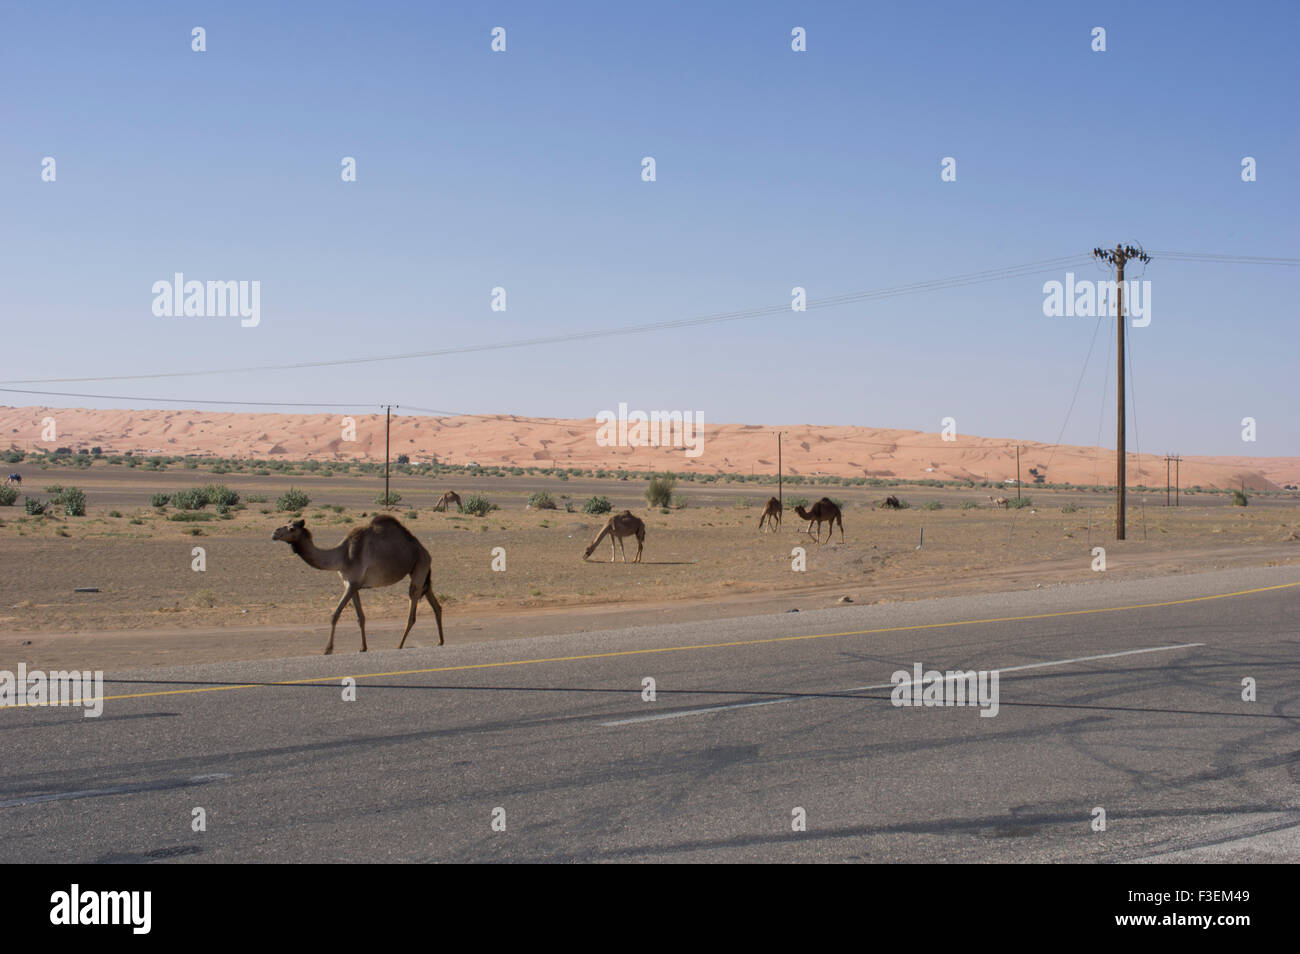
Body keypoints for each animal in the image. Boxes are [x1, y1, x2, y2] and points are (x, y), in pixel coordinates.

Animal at [271, 514, 444, 657]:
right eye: (285, 523)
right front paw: (363, 647)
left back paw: (399, 645)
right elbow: (360, 617)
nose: (274, 533)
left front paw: (328, 649)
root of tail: (424, 551)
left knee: (412, 612)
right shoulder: (352, 585)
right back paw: (440, 641)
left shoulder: (352, 584)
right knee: (436, 606)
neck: (342, 556)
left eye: (292, 528)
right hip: (423, 575)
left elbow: (335, 615)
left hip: (419, 568)